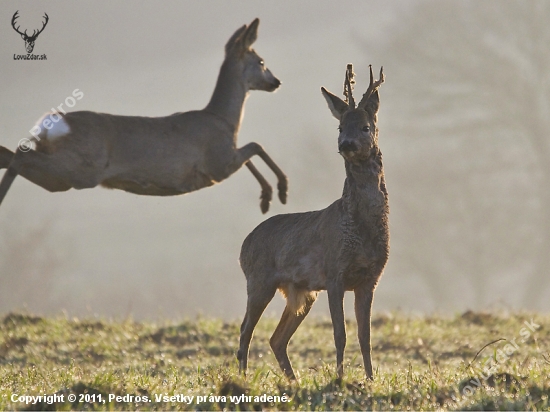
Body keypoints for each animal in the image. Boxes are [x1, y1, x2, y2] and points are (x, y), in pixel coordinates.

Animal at [2, 16, 288, 212]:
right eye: (262, 62)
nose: (277, 82)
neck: (224, 121)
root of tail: (49, 124)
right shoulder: (218, 164)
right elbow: (256, 146)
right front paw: (281, 191)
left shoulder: (224, 159)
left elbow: (251, 153)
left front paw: (266, 198)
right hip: (79, 168)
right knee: (19, 156)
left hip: (61, 177)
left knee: (14, 154)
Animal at [239, 63, 390, 380]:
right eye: (340, 127)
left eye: (365, 126)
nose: (346, 144)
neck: (361, 230)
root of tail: (244, 244)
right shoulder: (334, 273)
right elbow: (340, 334)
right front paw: (340, 378)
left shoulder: (370, 278)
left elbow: (365, 336)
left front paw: (370, 379)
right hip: (259, 280)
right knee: (246, 331)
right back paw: (242, 378)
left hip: (302, 292)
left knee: (276, 338)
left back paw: (293, 381)